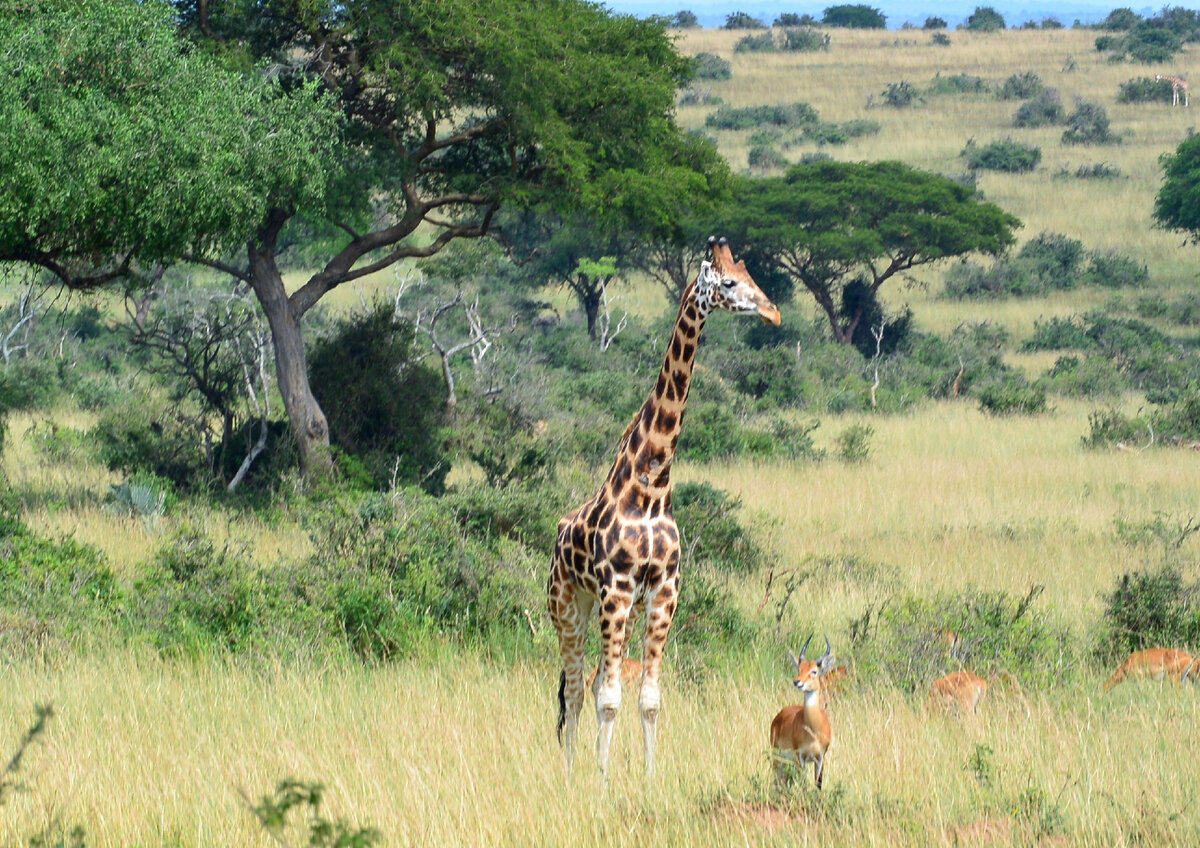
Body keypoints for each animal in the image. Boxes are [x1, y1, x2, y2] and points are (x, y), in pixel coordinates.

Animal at [544, 233, 777, 777]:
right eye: (728, 283)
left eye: (752, 275)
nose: (773, 312)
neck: (649, 492)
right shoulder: (617, 586)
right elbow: (608, 698)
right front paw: (603, 781)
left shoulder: (663, 588)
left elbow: (648, 699)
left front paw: (649, 780)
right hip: (569, 606)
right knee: (574, 691)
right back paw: (570, 773)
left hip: (615, 610)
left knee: (587, 684)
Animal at [768, 638, 835, 791]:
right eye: (799, 669)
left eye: (814, 671)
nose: (797, 682)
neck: (814, 730)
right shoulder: (800, 756)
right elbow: (804, 784)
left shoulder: (820, 757)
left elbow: (818, 784)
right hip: (778, 756)